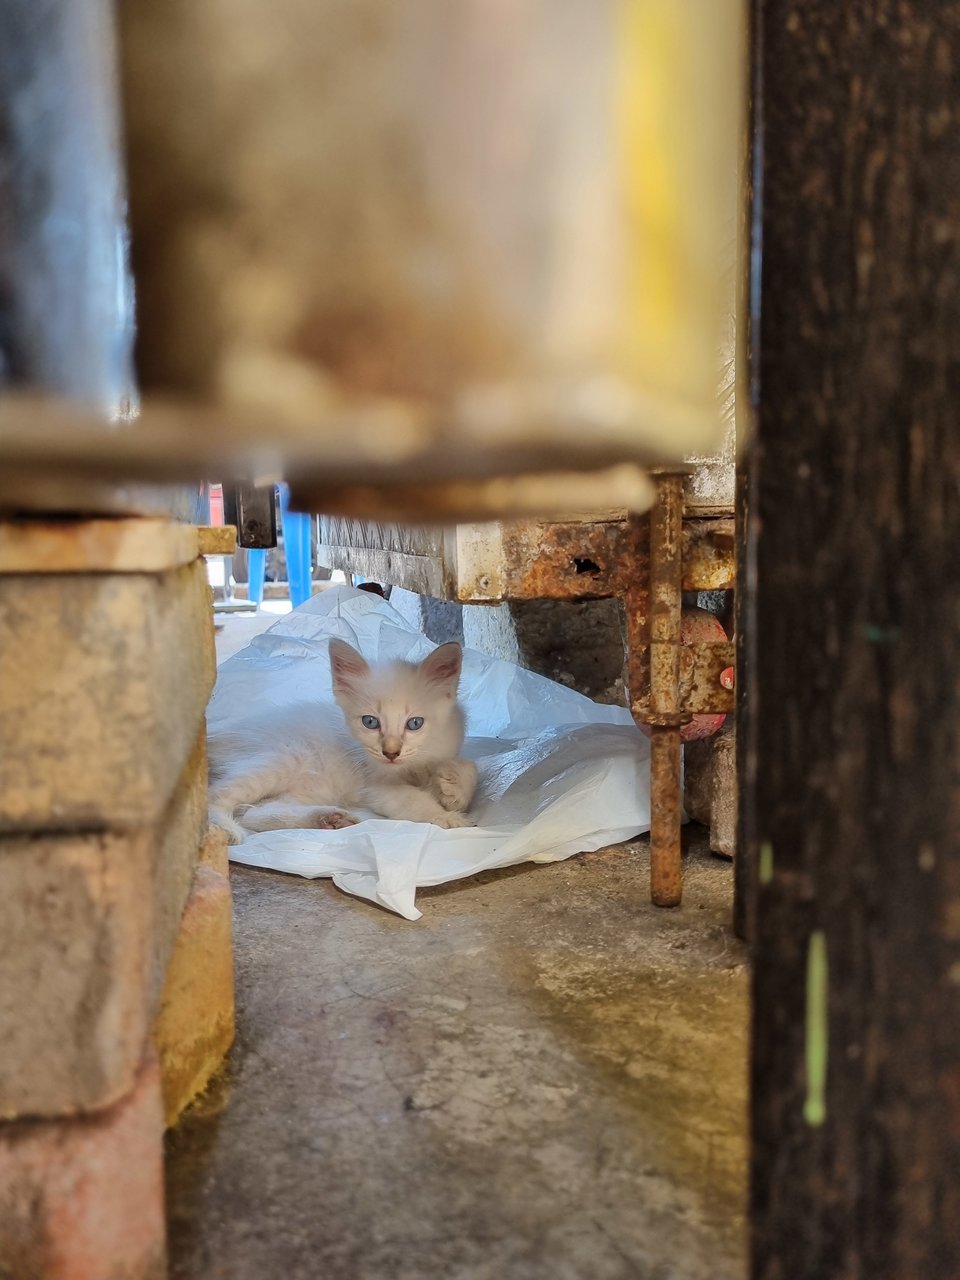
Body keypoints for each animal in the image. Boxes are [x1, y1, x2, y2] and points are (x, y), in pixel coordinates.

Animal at [211, 637, 481, 839]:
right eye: (370, 722)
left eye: (415, 723)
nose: (391, 753)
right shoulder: (377, 787)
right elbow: (413, 800)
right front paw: (447, 817)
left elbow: (471, 767)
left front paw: (453, 785)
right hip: (285, 757)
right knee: (220, 796)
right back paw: (223, 829)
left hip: (310, 787)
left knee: (257, 812)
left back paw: (328, 818)